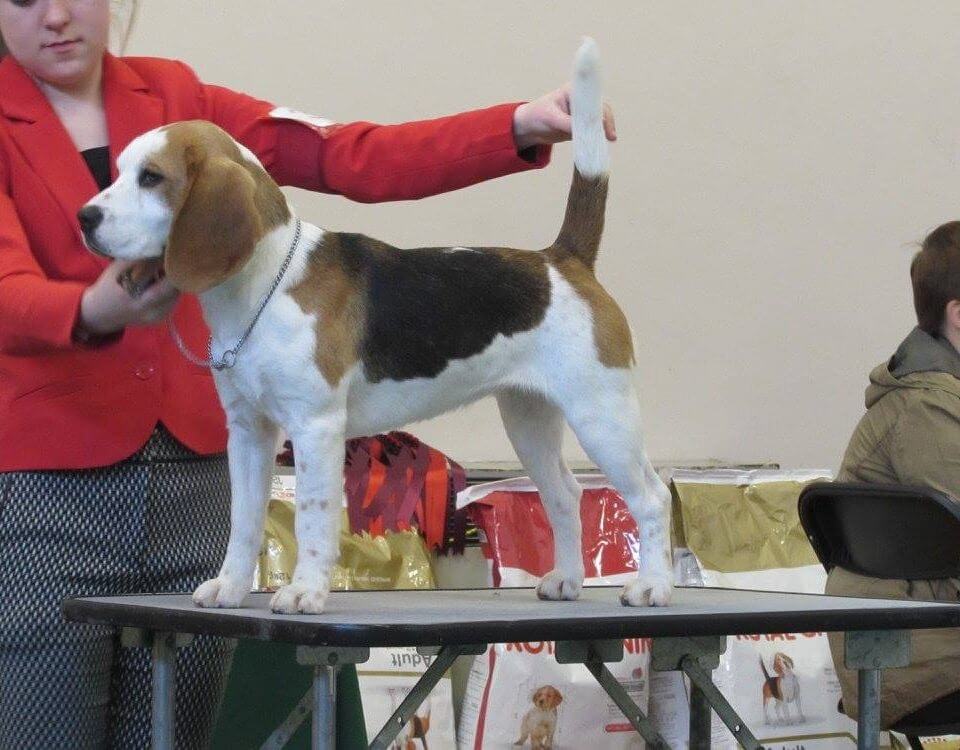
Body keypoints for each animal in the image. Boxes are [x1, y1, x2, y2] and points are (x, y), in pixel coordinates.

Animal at [79, 41, 672, 612]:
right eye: (120, 172)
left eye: (151, 178)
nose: (85, 218)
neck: (262, 283)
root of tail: (563, 259)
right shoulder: (248, 431)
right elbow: (243, 521)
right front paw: (229, 587)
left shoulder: (315, 427)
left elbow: (313, 516)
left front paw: (305, 592)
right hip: (529, 418)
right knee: (566, 495)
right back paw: (568, 580)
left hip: (602, 415)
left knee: (651, 497)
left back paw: (652, 587)